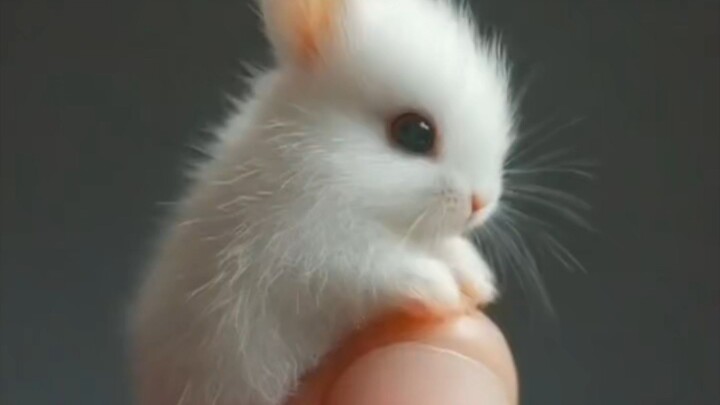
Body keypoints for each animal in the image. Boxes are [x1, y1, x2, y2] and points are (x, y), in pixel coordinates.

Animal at [130, 0, 516, 403]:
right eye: (414, 132)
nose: (481, 202)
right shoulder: (315, 255)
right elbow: (379, 268)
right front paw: (443, 289)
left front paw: (477, 279)